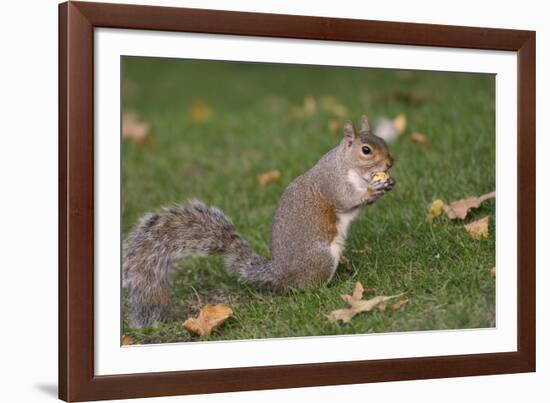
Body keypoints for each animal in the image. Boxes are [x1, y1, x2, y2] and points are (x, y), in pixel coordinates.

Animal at [124, 114, 396, 328]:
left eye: (382, 141)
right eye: (366, 150)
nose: (390, 163)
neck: (347, 165)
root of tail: (279, 274)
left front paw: (387, 183)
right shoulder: (333, 184)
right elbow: (348, 200)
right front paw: (372, 190)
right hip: (321, 258)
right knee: (306, 287)